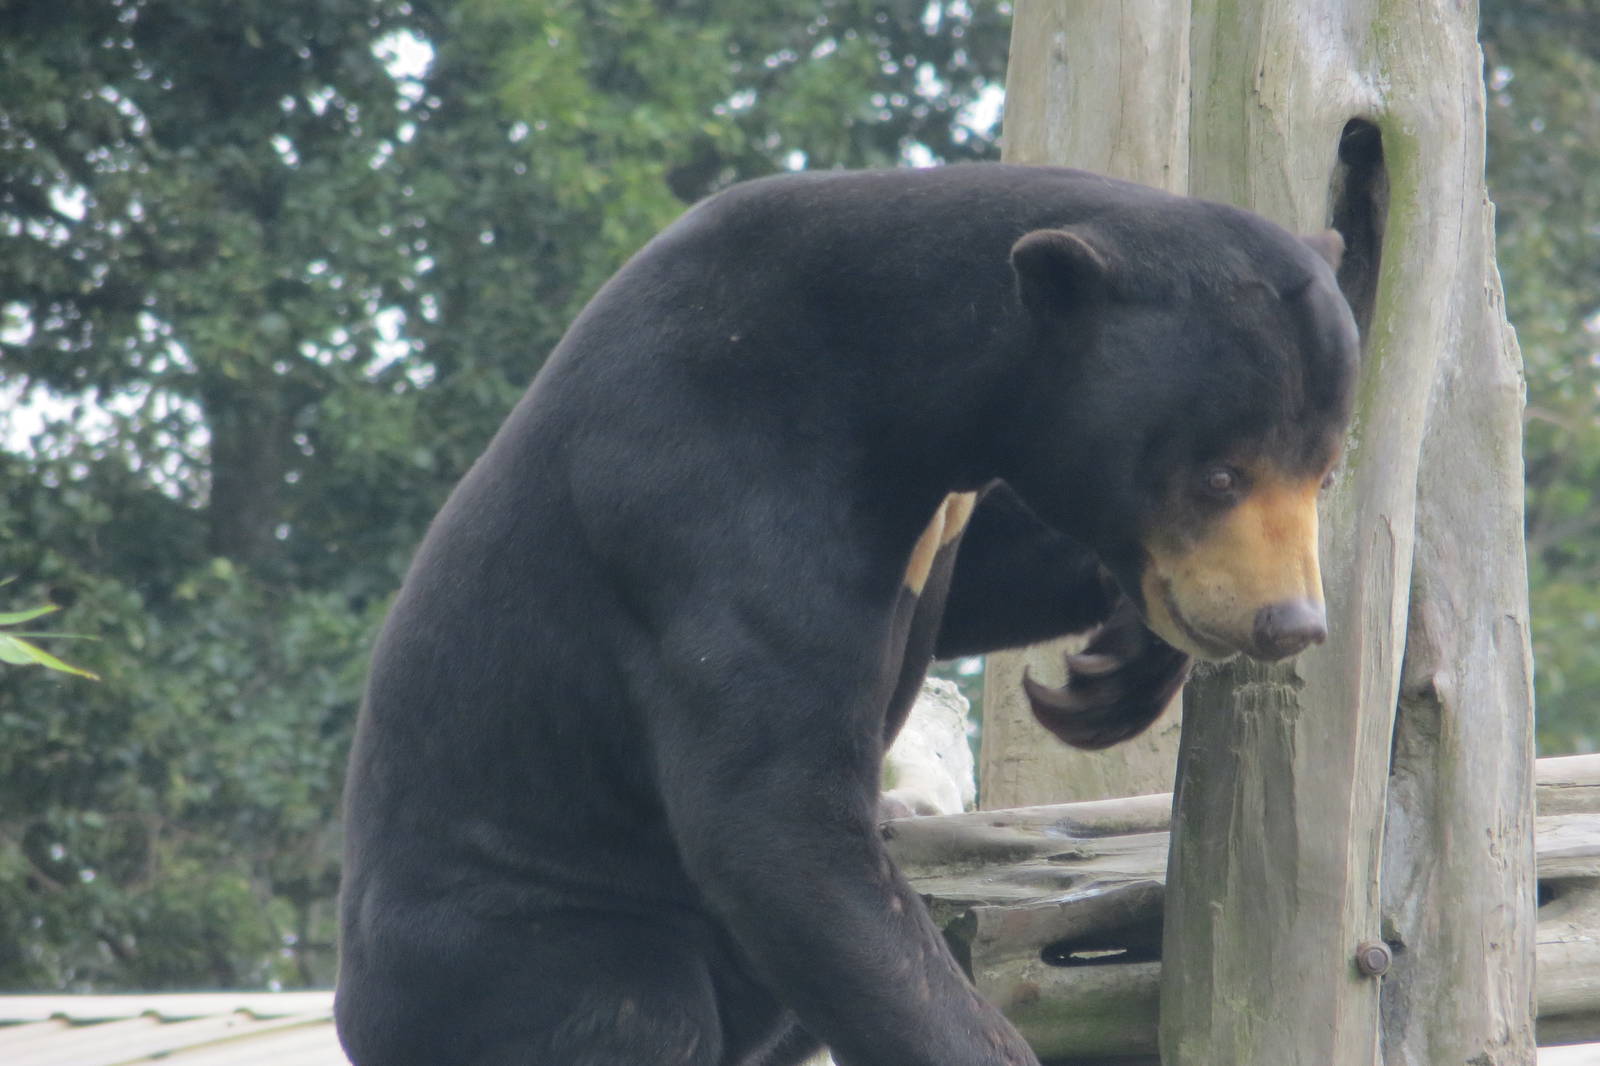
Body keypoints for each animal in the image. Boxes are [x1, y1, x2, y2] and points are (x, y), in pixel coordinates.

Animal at [335, 164, 1358, 1066]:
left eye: (1324, 470)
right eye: (1219, 474)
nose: (1287, 623)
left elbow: (992, 575)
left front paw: (1112, 671)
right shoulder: (714, 492)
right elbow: (771, 820)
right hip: (533, 933)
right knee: (633, 1014)